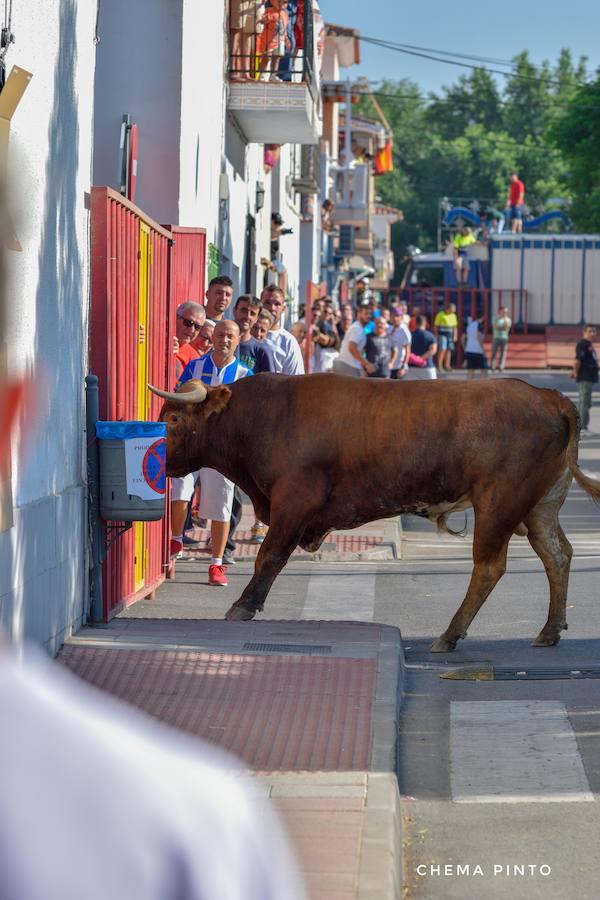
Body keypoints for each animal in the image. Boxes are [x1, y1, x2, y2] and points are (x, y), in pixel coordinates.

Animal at [151, 374, 600, 652]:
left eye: (172, 418)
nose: (155, 461)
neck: (266, 416)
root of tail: (549, 396)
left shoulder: (294, 502)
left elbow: (269, 557)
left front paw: (245, 605)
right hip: (540, 506)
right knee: (557, 555)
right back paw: (548, 630)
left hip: (498, 504)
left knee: (489, 567)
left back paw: (449, 634)